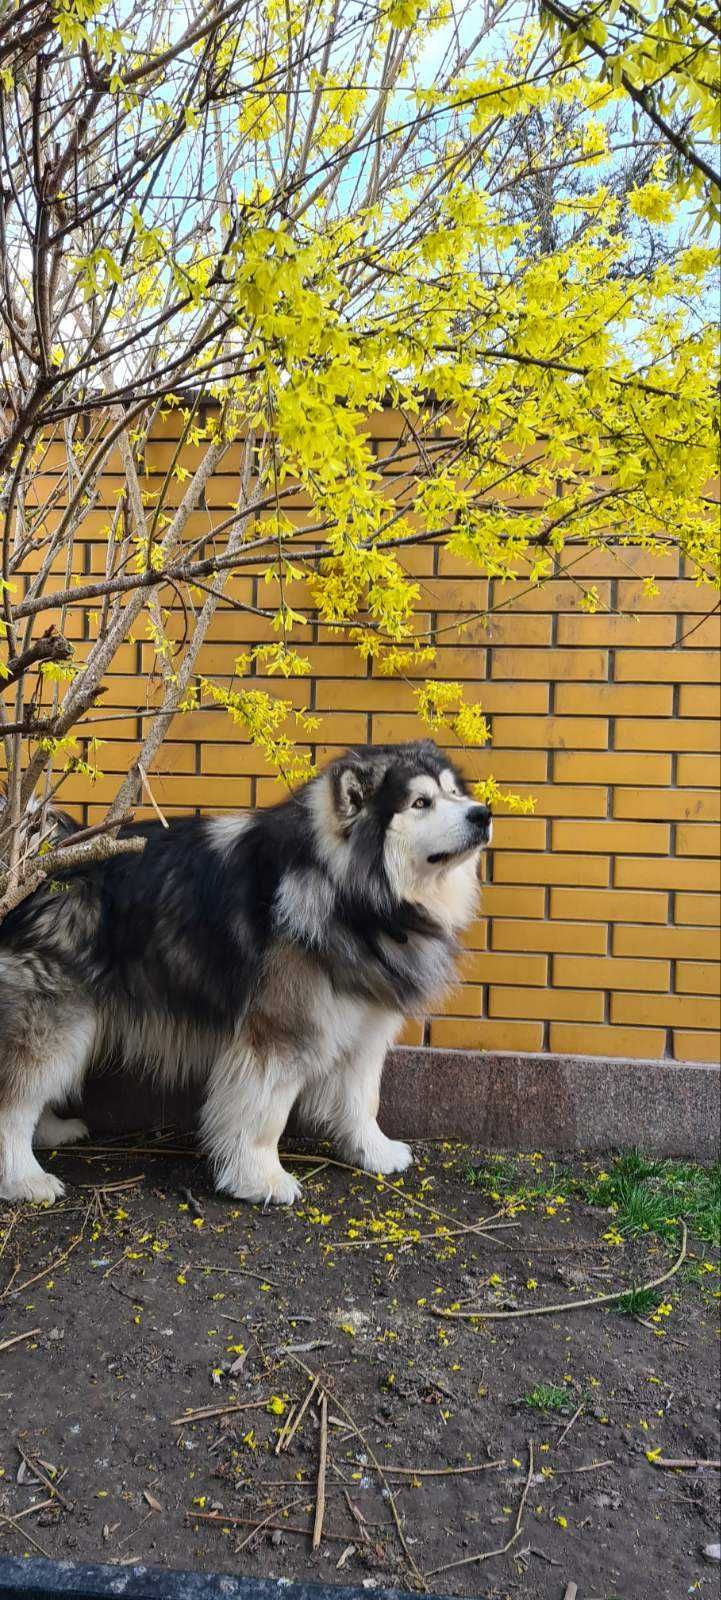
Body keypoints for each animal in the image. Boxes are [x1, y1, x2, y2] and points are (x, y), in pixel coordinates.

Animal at [0, 742, 492, 1203]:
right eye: (420, 802)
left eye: (454, 792)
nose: (483, 814)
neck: (350, 895)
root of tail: (36, 862)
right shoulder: (278, 1032)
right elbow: (263, 1115)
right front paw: (261, 1178)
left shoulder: (364, 1024)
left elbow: (363, 1098)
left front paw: (374, 1152)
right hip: (54, 1023)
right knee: (13, 1101)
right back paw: (25, 1178)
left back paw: (51, 1130)